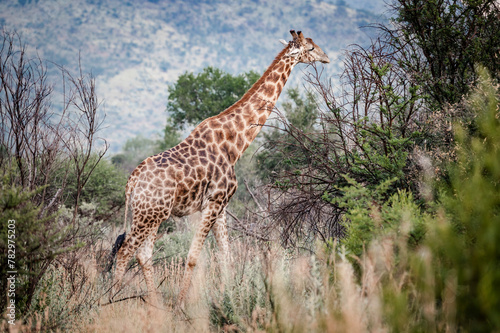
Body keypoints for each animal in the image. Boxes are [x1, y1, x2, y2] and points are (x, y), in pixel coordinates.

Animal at [110, 29, 328, 304]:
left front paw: (230, 298)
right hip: (148, 215)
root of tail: (131, 181)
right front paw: (181, 304)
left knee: (143, 254)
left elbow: (226, 255)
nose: (326, 58)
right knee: (125, 251)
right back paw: (111, 302)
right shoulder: (213, 202)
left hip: (152, 214)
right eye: (310, 48)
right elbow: (193, 257)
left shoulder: (222, 205)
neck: (235, 143)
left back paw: (155, 306)